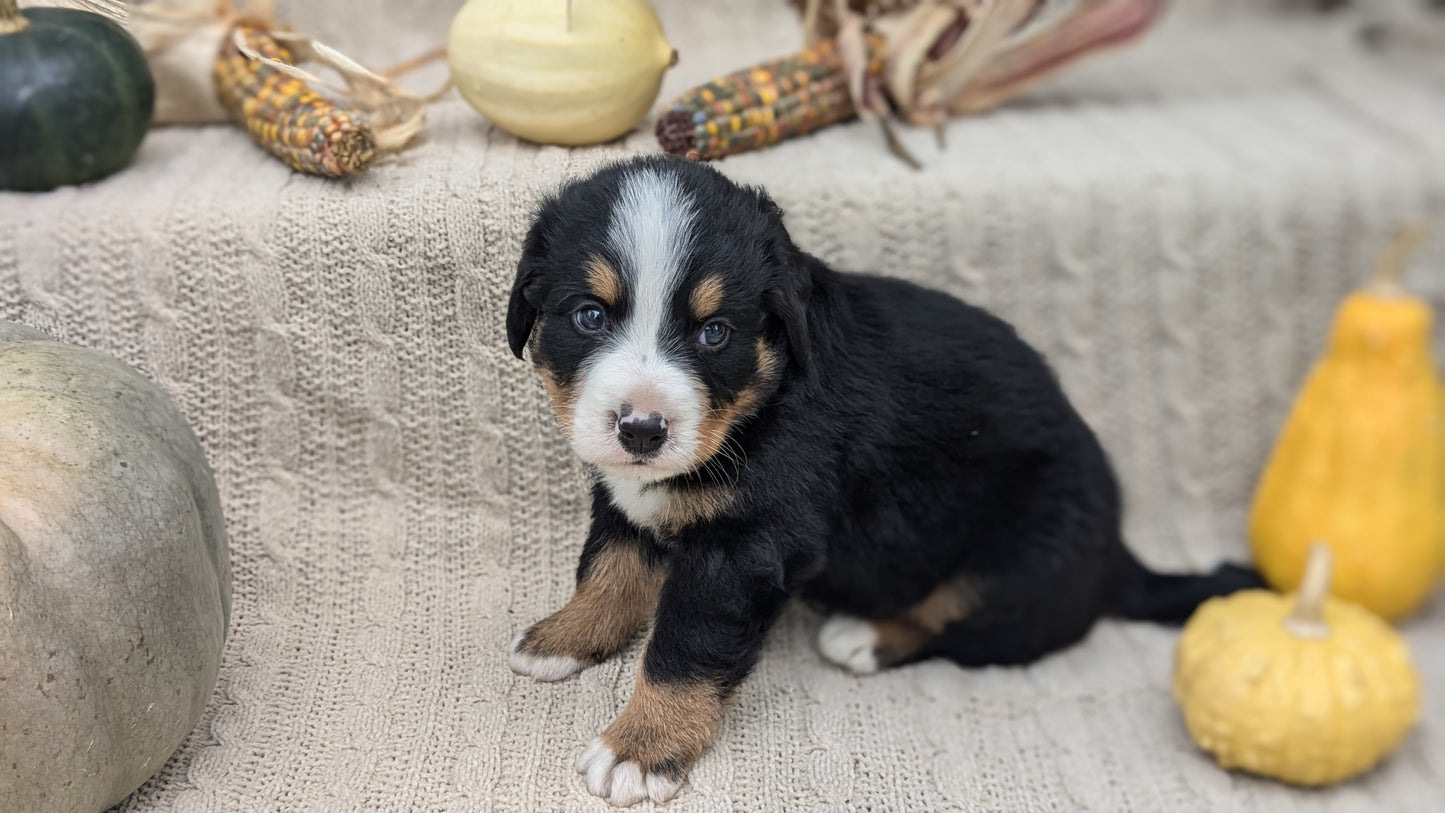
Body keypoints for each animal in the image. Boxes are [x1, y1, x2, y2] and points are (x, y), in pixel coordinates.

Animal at [502, 154, 1260, 808]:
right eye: (590, 316)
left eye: (714, 332)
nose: (641, 429)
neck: (757, 405)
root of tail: (1118, 555)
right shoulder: (624, 497)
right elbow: (610, 567)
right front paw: (565, 637)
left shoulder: (745, 545)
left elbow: (684, 648)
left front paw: (640, 747)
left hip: (1023, 554)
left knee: (960, 620)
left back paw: (864, 635)